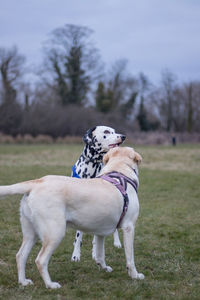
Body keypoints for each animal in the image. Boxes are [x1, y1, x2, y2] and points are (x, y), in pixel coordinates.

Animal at [0, 147, 144, 288]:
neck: (118, 170)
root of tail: (37, 182)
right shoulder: (129, 227)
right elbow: (130, 258)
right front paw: (135, 275)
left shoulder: (100, 232)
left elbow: (99, 254)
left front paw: (104, 267)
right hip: (55, 233)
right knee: (40, 260)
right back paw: (50, 284)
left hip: (31, 234)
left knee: (20, 256)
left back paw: (23, 282)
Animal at [71, 125, 126, 262]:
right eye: (106, 132)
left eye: (114, 131)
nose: (123, 136)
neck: (92, 166)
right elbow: (78, 235)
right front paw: (76, 254)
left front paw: (96, 253)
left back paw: (117, 242)